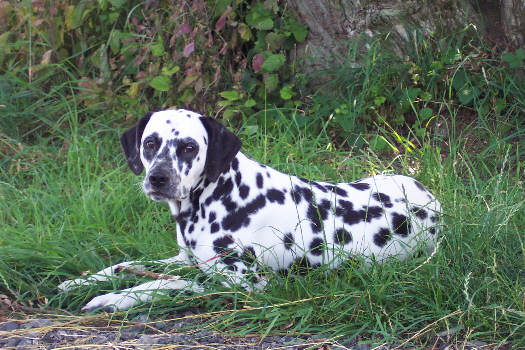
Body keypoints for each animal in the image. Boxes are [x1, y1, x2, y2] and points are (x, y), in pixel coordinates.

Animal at [59, 109, 440, 312]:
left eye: (188, 146)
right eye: (150, 143)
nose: (158, 178)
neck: (221, 194)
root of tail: (434, 205)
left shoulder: (242, 284)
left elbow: (169, 284)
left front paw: (113, 298)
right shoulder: (185, 259)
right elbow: (125, 264)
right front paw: (81, 280)